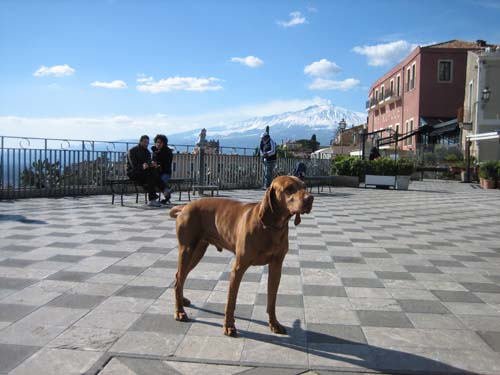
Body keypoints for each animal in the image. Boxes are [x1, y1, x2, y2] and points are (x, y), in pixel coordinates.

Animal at [170, 176, 314, 338]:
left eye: (304, 186)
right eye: (289, 188)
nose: (310, 198)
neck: (271, 227)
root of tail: (185, 206)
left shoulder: (276, 267)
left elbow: (272, 300)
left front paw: (274, 324)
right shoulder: (238, 268)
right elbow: (231, 301)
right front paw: (228, 326)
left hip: (197, 252)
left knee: (179, 277)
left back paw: (182, 300)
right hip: (187, 250)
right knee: (179, 279)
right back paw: (179, 311)